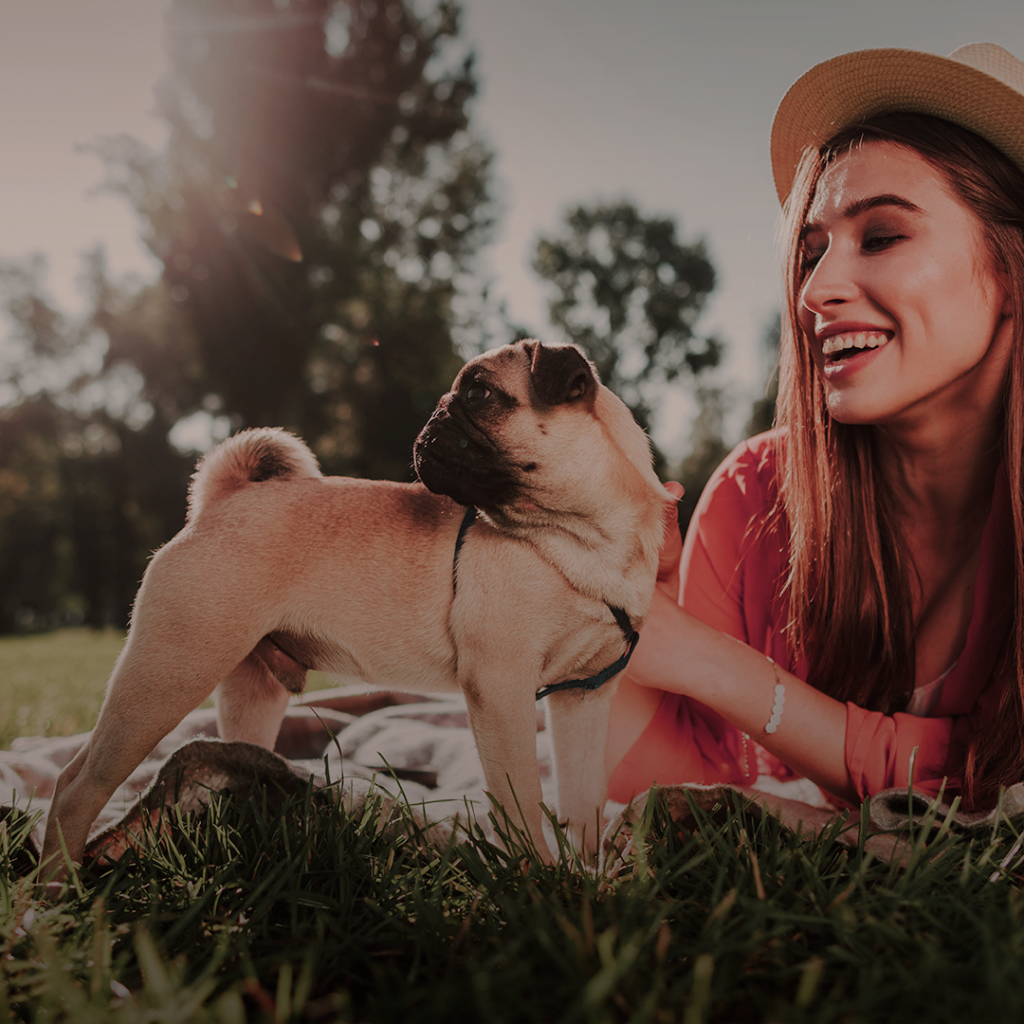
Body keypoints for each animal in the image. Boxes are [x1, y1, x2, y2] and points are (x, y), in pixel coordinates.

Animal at [39, 337, 675, 880]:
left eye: (479, 394)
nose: (433, 418)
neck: (583, 538)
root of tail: (227, 498)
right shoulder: (502, 688)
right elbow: (520, 801)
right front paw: (538, 880)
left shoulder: (583, 698)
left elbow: (583, 800)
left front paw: (587, 877)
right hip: (171, 668)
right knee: (75, 786)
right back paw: (54, 894)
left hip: (246, 687)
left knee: (227, 752)